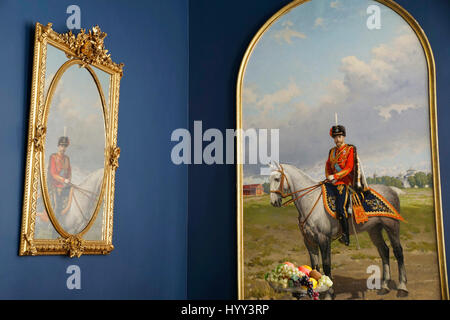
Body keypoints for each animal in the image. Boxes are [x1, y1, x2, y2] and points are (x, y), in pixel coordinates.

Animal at [268, 161, 410, 298]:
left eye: (277, 178)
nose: (274, 202)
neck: (310, 201)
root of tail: (392, 190)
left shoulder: (324, 239)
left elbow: (326, 265)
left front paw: (329, 294)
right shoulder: (309, 241)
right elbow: (314, 267)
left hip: (392, 226)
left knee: (398, 252)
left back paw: (402, 288)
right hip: (374, 230)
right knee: (384, 251)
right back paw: (384, 286)